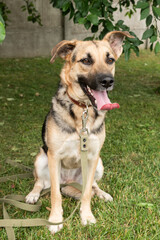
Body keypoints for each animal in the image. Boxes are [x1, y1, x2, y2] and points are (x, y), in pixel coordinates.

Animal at [26, 30, 133, 234]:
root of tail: (68, 182)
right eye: (86, 60)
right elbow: (55, 195)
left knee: (92, 185)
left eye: (110, 60)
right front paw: (56, 220)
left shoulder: (92, 156)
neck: (82, 110)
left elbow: (87, 194)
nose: (107, 81)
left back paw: (102, 194)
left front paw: (87, 216)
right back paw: (33, 195)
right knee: (40, 182)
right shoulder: (54, 156)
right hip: (41, 158)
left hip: (99, 164)